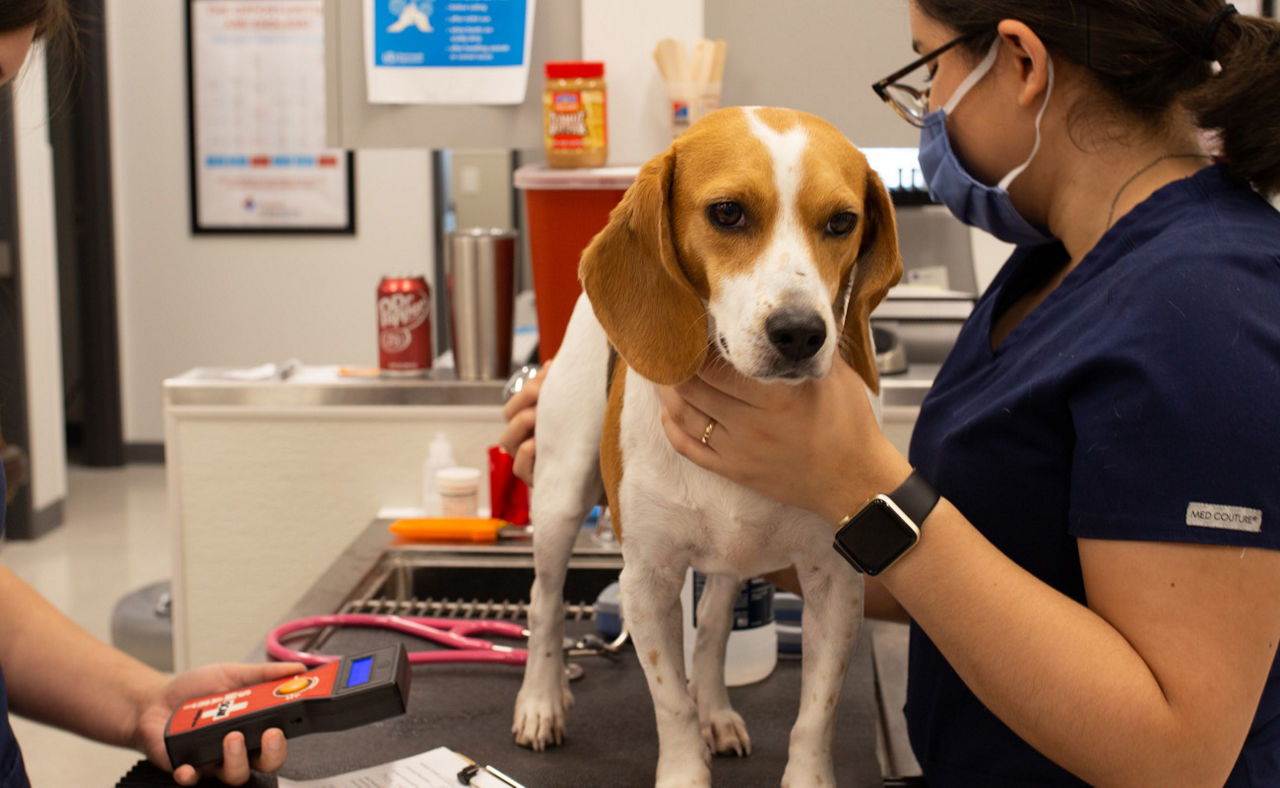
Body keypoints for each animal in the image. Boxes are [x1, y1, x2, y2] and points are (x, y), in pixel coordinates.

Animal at [512, 106, 901, 788]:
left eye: (841, 222)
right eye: (727, 213)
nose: (801, 333)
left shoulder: (835, 581)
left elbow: (815, 716)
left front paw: (799, 769)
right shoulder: (647, 582)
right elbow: (670, 704)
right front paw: (684, 768)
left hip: (726, 563)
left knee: (715, 632)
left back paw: (715, 710)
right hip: (560, 498)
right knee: (545, 602)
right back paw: (540, 699)